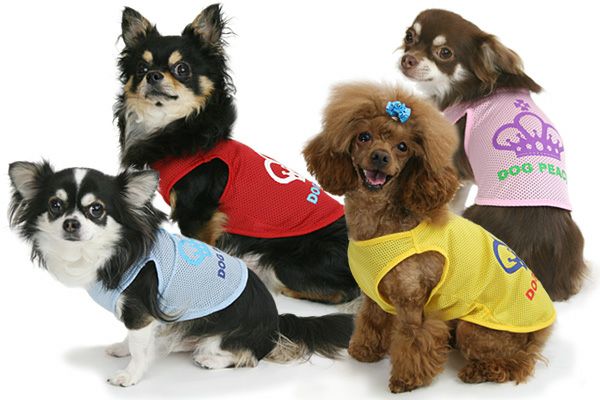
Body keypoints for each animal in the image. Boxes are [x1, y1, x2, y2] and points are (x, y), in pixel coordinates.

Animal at [8, 161, 354, 387]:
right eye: (55, 205)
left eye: (97, 210)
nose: (71, 223)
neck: (111, 252)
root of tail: (276, 321)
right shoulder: (140, 315)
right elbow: (132, 338)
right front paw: (122, 348)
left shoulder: (139, 310)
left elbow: (139, 347)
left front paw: (130, 375)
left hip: (222, 334)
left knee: (247, 357)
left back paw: (210, 358)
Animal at [113, 4, 359, 305]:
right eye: (141, 68)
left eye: (182, 69)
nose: (153, 75)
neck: (176, 128)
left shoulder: (199, 215)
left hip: (287, 264)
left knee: (341, 292)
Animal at [303, 82, 554, 392]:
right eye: (364, 136)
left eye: (403, 147)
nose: (380, 156)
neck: (379, 224)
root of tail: (539, 330)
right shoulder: (373, 295)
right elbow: (371, 321)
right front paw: (365, 351)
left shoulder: (414, 305)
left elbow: (414, 340)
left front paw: (406, 380)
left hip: (477, 328)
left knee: (518, 363)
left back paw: (480, 371)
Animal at [397, 9, 586, 301]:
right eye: (409, 37)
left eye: (445, 53)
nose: (408, 59)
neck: (465, 87)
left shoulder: (457, 171)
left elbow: (452, 203)